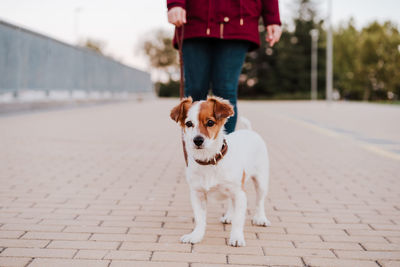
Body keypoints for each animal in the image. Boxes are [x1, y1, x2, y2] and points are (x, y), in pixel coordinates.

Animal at [170, 96, 270, 247]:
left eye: (210, 122)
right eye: (188, 123)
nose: (197, 140)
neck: (209, 161)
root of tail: (249, 131)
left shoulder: (240, 194)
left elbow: (238, 220)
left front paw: (236, 237)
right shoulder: (197, 194)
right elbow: (200, 219)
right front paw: (196, 236)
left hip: (261, 181)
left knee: (260, 201)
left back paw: (260, 218)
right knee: (231, 202)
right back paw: (229, 216)